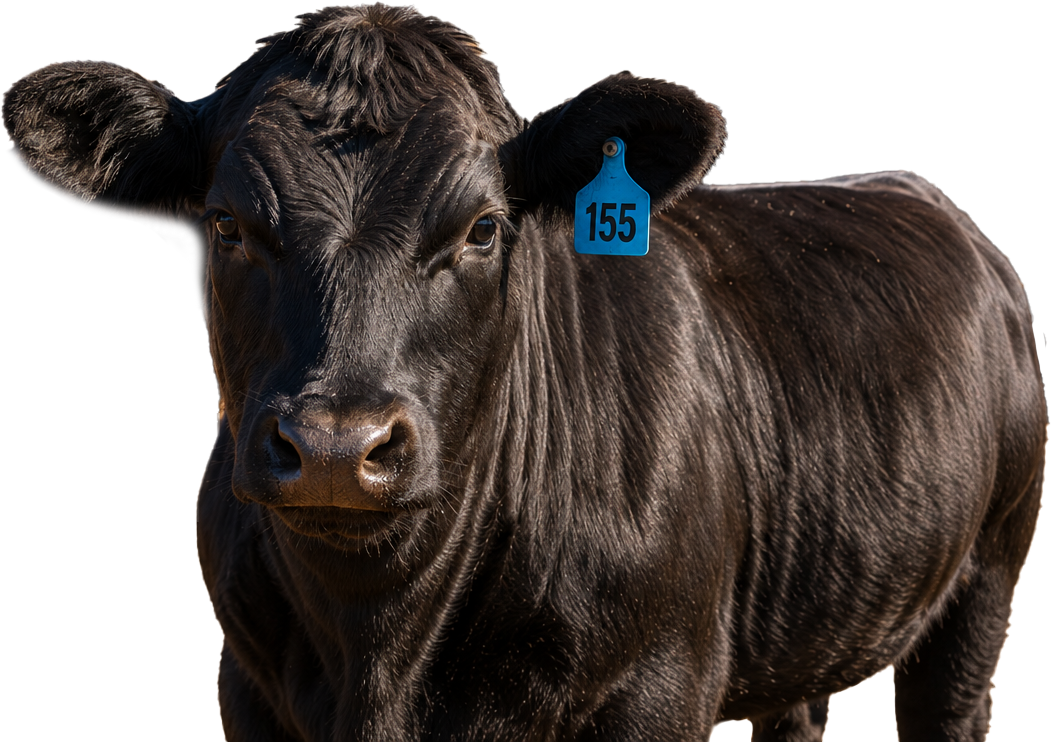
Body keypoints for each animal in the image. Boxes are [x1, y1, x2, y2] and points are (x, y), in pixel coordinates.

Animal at [0, 153, 148, 420]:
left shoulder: (141, 276)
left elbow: (133, 323)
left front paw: (125, 376)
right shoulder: (61, 267)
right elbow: (78, 329)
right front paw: (75, 394)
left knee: (29, 301)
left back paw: (30, 366)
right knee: (4, 307)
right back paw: (6, 377)